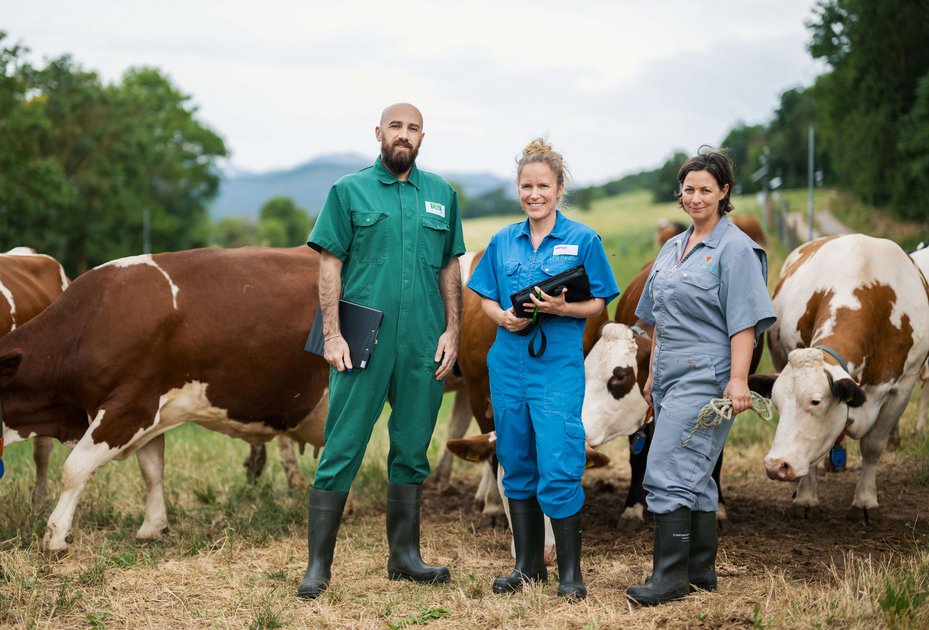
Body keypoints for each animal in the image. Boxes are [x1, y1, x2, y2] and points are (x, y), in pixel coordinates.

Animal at [0, 247, 332, 552]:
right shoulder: (148, 412)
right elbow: (152, 470)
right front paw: (153, 526)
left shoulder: (128, 408)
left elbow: (74, 469)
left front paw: (55, 536)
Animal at [752, 236, 928, 524]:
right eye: (776, 404)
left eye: (815, 401)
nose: (776, 466)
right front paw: (805, 497)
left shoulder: (903, 387)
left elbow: (873, 446)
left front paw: (866, 501)